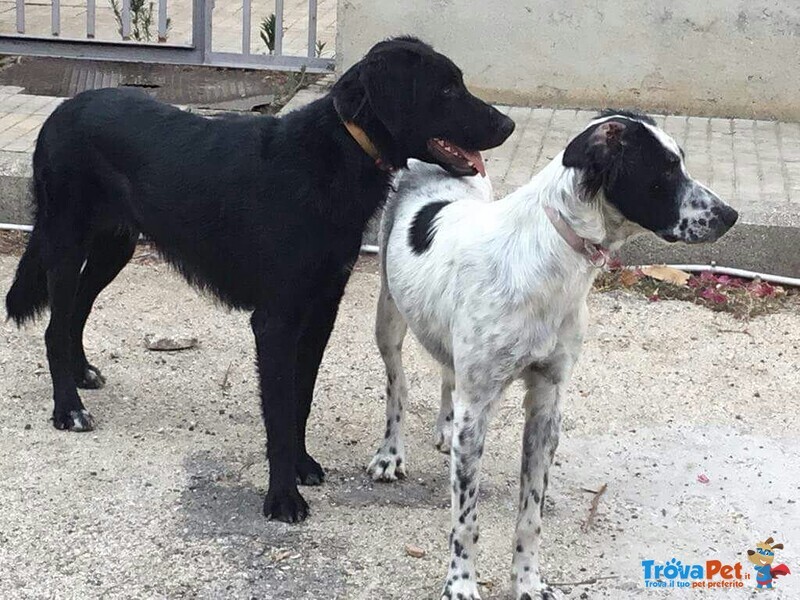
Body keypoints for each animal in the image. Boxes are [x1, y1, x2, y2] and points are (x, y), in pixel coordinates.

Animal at [6, 38, 516, 524]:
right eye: (446, 90)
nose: (508, 125)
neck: (333, 154)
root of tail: (60, 113)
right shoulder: (276, 321)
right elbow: (279, 408)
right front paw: (282, 498)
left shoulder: (321, 311)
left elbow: (300, 399)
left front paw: (302, 465)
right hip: (65, 241)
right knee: (54, 325)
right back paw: (67, 408)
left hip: (115, 246)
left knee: (75, 310)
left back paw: (81, 374)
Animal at [368, 109, 736, 600]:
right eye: (664, 170)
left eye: (681, 161)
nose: (731, 215)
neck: (550, 260)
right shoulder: (479, 408)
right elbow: (465, 521)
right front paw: (461, 584)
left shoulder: (546, 402)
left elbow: (530, 518)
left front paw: (527, 582)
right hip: (388, 317)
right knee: (398, 385)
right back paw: (391, 453)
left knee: (447, 372)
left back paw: (444, 427)